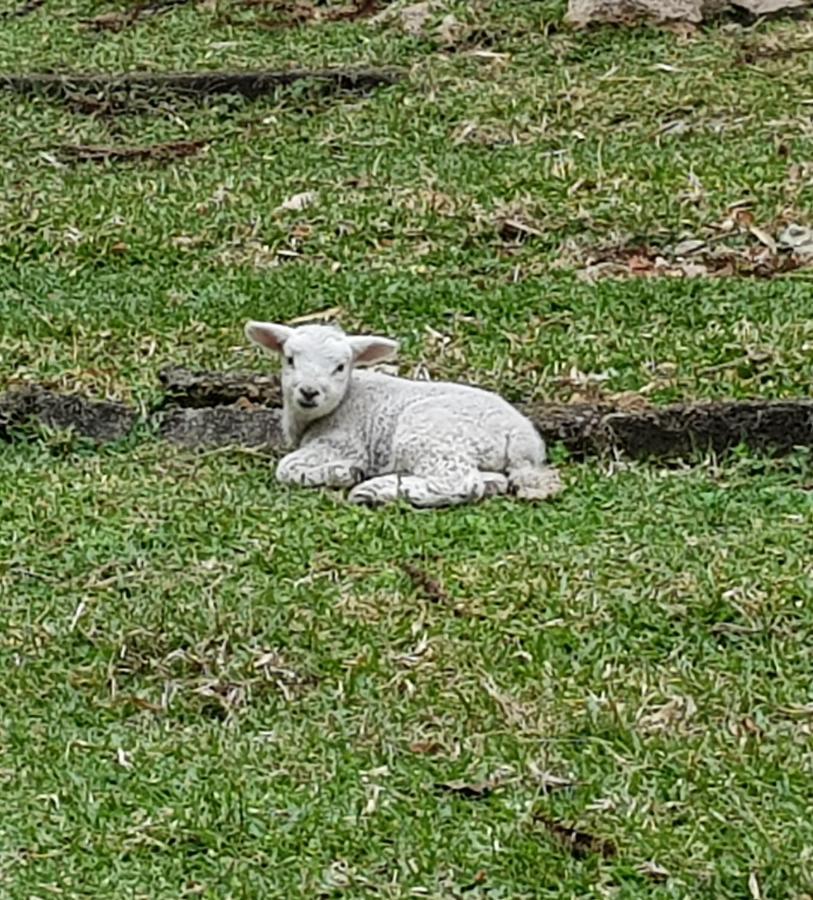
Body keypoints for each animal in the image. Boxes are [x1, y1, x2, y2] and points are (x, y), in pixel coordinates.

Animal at [244, 322, 560, 506]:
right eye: (290, 359)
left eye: (340, 367)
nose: (309, 392)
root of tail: (521, 437)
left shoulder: (344, 442)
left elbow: (285, 467)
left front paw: (341, 473)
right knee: (484, 484)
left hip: (429, 432)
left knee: (458, 481)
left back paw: (377, 490)